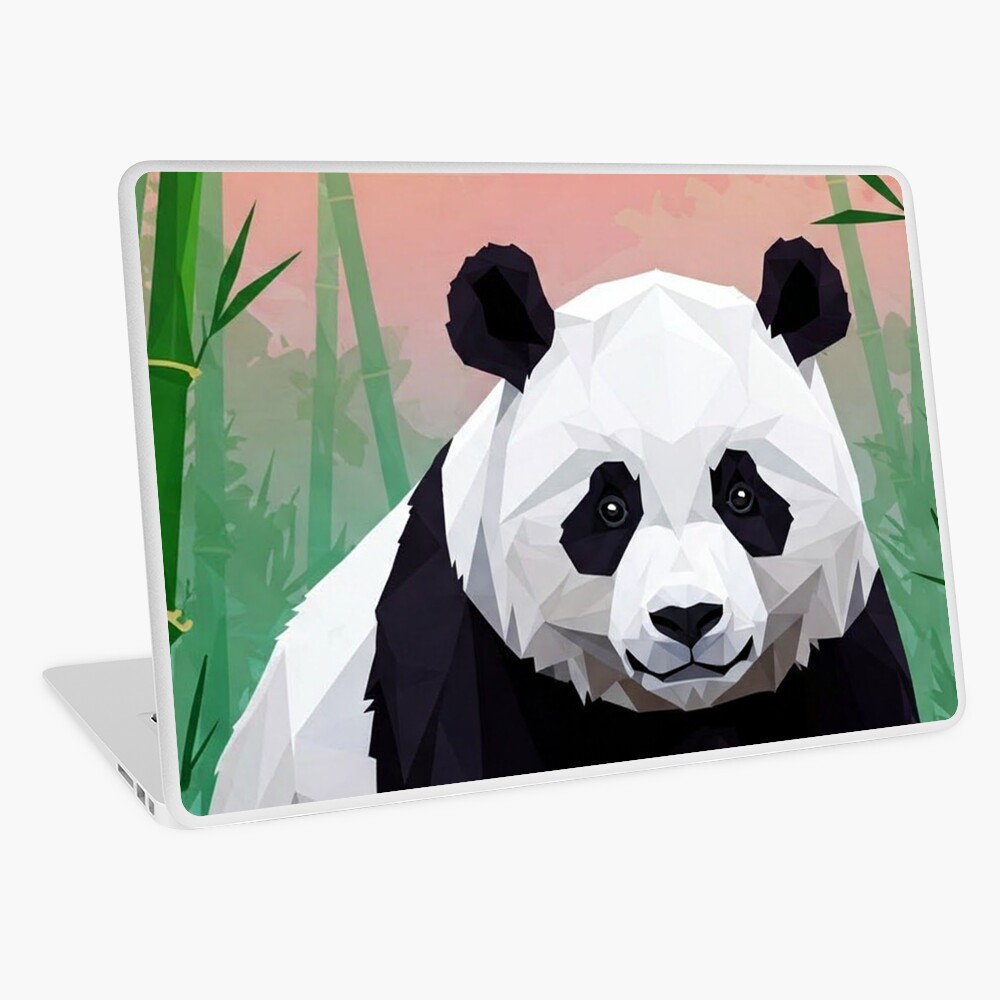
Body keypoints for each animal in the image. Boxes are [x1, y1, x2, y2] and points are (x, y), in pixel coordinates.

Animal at [210, 237, 918, 812]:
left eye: (743, 496)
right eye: (610, 509)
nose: (687, 617)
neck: (678, 708)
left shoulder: (833, 641)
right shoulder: (464, 651)